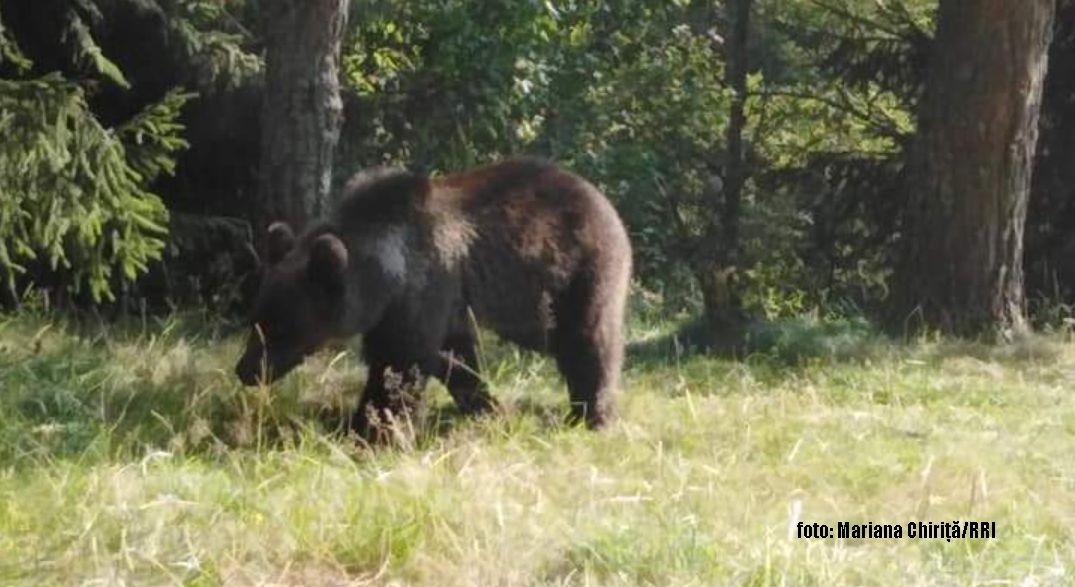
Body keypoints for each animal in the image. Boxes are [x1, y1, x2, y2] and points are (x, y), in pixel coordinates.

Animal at [235, 158, 632, 432]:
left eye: (282, 326)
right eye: (256, 318)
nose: (245, 370)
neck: (385, 275)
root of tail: (601, 199)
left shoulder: (424, 288)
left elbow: (401, 363)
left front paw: (371, 428)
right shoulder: (432, 307)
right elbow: (455, 359)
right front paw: (485, 407)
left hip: (579, 272)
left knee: (588, 339)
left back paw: (593, 414)